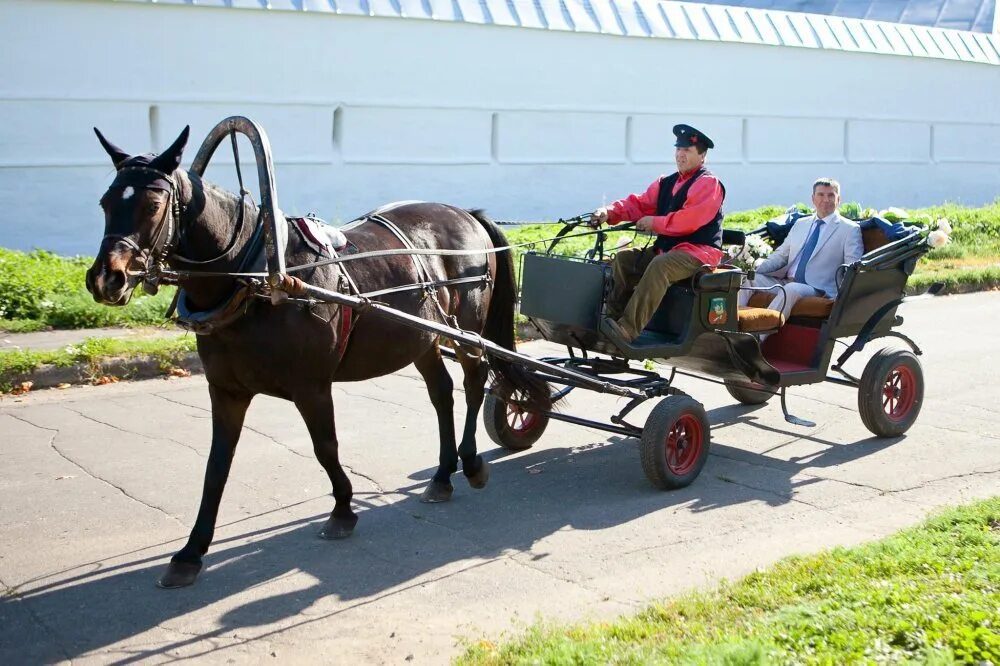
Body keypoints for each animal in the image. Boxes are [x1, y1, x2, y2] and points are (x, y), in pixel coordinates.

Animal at [86, 127, 552, 588]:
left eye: (152, 204)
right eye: (105, 202)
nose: (106, 278)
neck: (257, 277)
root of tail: (465, 214)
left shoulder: (311, 387)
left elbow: (325, 447)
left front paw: (343, 510)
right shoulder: (226, 390)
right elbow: (217, 465)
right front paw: (191, 552)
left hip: (467, 332)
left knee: (474, 385)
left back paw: (470, 463)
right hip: (420, 338)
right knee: (442, 394)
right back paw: (441, 476)